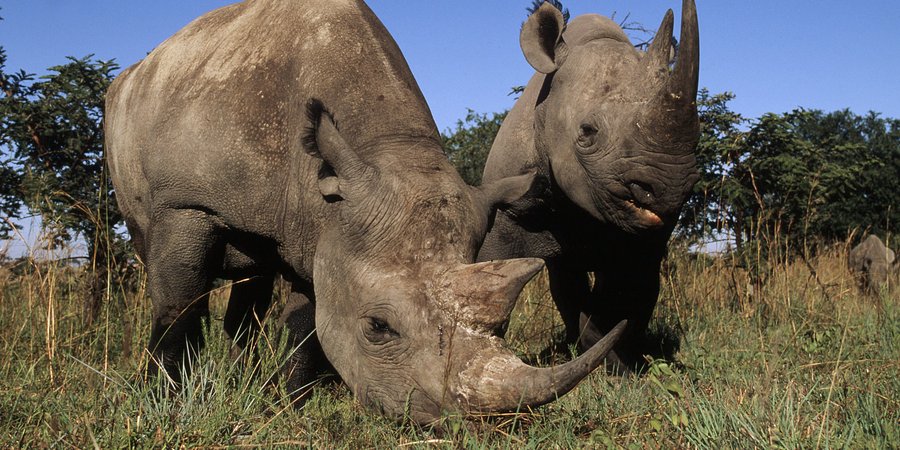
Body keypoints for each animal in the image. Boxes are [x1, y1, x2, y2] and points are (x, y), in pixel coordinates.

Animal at [105, 0, 625, 423]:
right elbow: (177, 301)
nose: (470, 424)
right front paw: (165, 402)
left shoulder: (320, 225)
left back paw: (245, 375)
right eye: (378, 327)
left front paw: (287, 404)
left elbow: (306, 323)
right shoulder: (184, 201)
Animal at [477, 1, 700, 369]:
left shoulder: (647, 234)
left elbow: (631, 295)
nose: (666, 188)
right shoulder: (507, 206)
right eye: (587, 132)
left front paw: (620, 368)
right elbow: (493, 274)